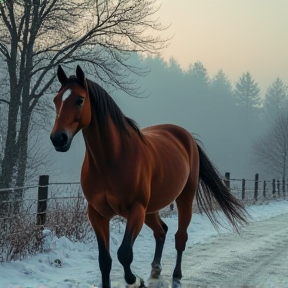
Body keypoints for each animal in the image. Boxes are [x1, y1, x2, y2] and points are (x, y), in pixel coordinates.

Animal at [50, 65, 248, 288]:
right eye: (56, 100)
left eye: (79, 100)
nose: (58, 138)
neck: (111, 160)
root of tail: (187, 137)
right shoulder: (97, 214)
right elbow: (105, 260)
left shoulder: (136, 209)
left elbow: (124, 253)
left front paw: (135, 280)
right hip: (151, 209)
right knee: (161, 231)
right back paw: (155, 269)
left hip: (183, 199)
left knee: (180, 237)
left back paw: (176, 277)